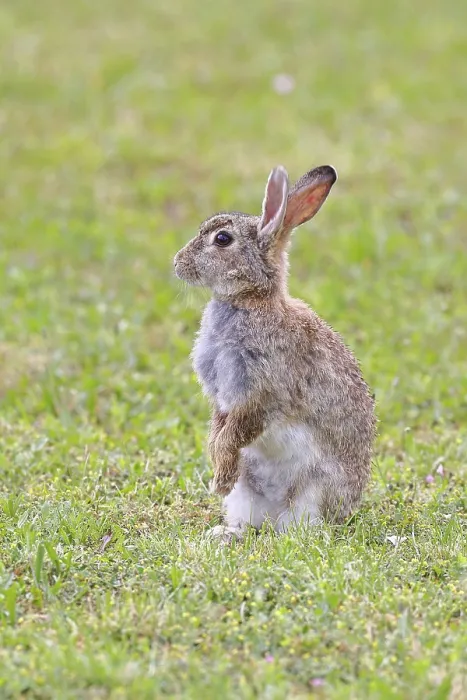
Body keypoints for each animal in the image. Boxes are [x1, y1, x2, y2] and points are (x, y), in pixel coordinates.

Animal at [174, 164, 376, 540]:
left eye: (222, 239)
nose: (177, 263)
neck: (250, 302)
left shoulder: (263, 394)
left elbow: (236, 433)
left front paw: (219, 479)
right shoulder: (223, 400)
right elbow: (219, 431)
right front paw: (217, 472)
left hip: (313, 491)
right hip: (246, 493)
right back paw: (226, 534)